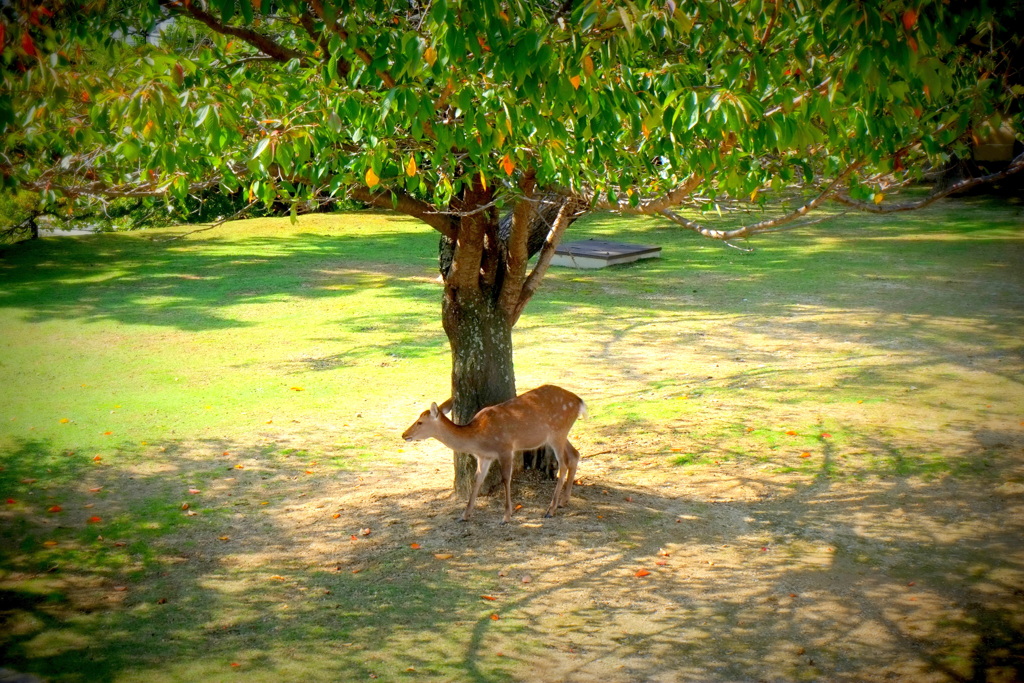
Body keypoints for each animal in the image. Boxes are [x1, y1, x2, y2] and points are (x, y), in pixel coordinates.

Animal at [403, 385, 589, 524]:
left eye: (420, 422)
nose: (404, 434)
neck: (478, 438)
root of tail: (580, 402)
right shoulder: (484, 457)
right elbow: (477, 479)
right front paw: (464, 515)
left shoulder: (505, 448)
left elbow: (506, 478)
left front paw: (506, 516)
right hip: (557, 435)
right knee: (575, 455)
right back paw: (563, 501)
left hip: (557, 432)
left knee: (563, 464)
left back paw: (551, 509)